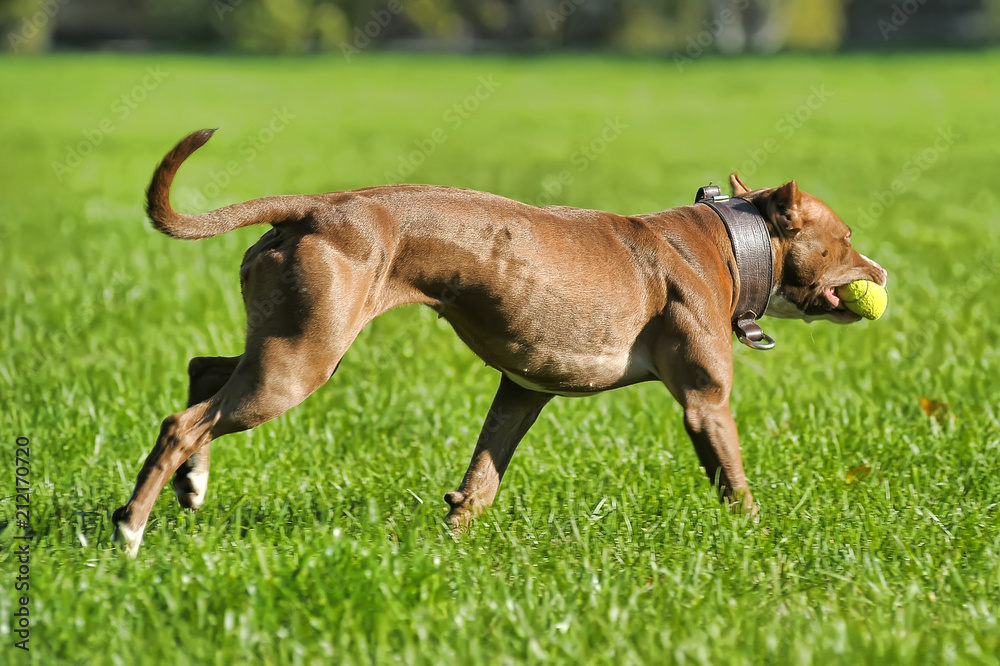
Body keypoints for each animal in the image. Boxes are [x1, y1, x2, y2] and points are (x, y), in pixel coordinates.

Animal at [113, 130, 888, 556]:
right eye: (847, 237)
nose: (881, 273)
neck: (729, 242)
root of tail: (318, 207)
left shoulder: (522, 390)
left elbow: (482, 477)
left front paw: (452, 539)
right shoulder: (705, 404)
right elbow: (735, 484)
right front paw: (759, 542)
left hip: (284, 342)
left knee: (203, 371)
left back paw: (192, 485)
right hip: (300, 362)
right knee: (182, 422)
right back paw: (131, 528)